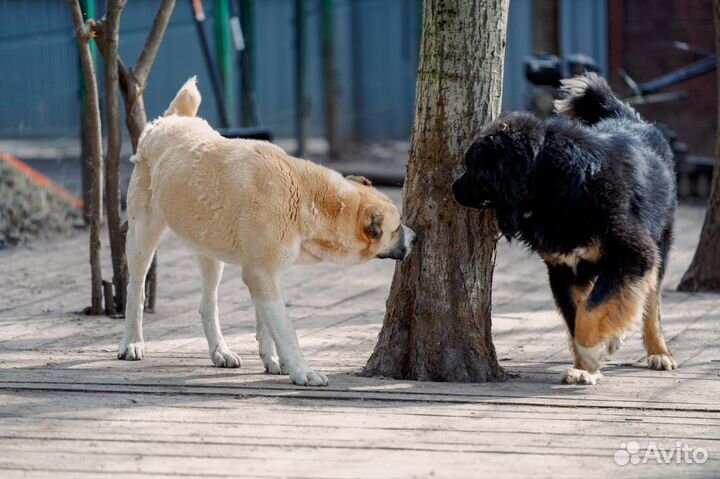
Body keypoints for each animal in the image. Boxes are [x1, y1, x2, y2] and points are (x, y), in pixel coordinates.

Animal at [115, 79, 414, 386]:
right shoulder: (262, 273)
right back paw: (132, 343)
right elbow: (285, 329)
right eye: (396, 228)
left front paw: (273, 361)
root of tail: (172, 119)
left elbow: (266, 325)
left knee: (207, 303)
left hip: (209, 249)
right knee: (136, 289)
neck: (306, 196)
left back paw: (220, 351)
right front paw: (302, 371)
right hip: (142, 238)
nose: (415, 237)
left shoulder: (265, 271)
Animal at [452, 72, 676, 386]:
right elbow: (576, 315)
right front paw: (586, 366)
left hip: (660, 244)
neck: (553, 185)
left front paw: (592, 355)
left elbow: (591, 311)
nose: (452, 188)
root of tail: (628, 117)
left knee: (651, 304)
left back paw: (659, 352)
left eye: (472, 168)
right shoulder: (563, 269)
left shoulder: (633, 252)